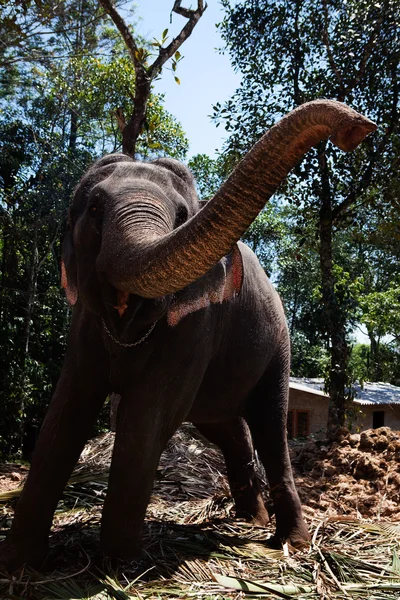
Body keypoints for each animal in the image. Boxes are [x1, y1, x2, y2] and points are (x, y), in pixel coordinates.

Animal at [0, 101, 376, 568]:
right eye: (94, 209)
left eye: (182, 216)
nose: (359, 128)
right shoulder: (84, 323)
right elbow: (67, 409)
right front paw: (20, 562)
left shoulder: (197, 328)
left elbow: (147, 415)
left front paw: (119, 565)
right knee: (228, 428)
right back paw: (249, 519)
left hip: (278, 348)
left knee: (271, 429)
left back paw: (291, 542)